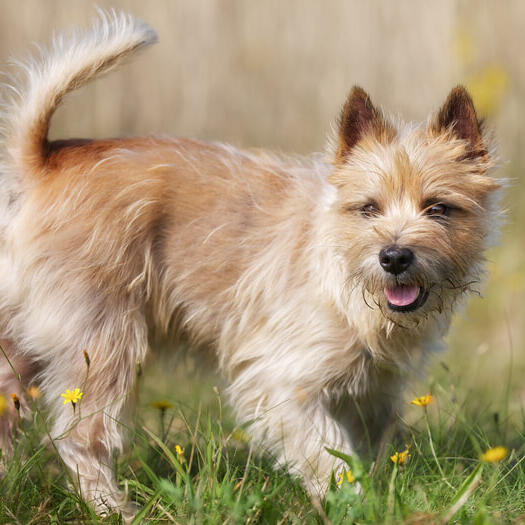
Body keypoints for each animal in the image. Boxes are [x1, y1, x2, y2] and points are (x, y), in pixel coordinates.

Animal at [0, 10, 500, 516]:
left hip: (20, 348)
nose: (394, 256)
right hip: (103, 344)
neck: (344, 279)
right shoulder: (282, 381)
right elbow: (327, 454)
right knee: (80, 437)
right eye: (368, 208)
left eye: (438, 208)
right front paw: (350, 504)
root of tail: (42, 162)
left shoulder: (371, 393)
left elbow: (365, 449)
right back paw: (114, 509)